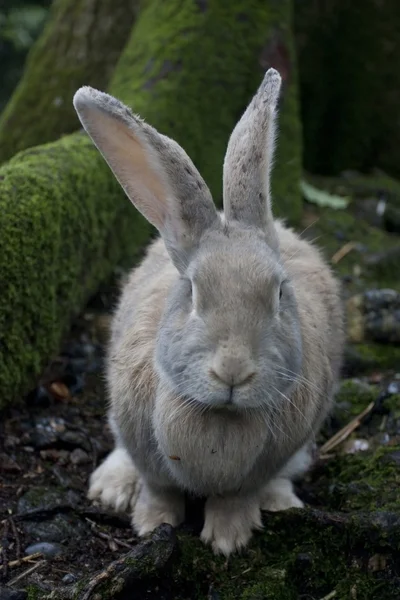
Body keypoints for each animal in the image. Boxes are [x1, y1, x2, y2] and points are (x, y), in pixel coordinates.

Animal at [72, 68, 344, 556]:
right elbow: (159, 488)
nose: (232, 371)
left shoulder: (258, 468)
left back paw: (281, 500)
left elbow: (236, 495)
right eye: (193, 291)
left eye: (279, 293)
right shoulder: (148, 453)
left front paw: (228, 540)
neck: (218, 414)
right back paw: (111, 489)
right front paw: (151, 525)